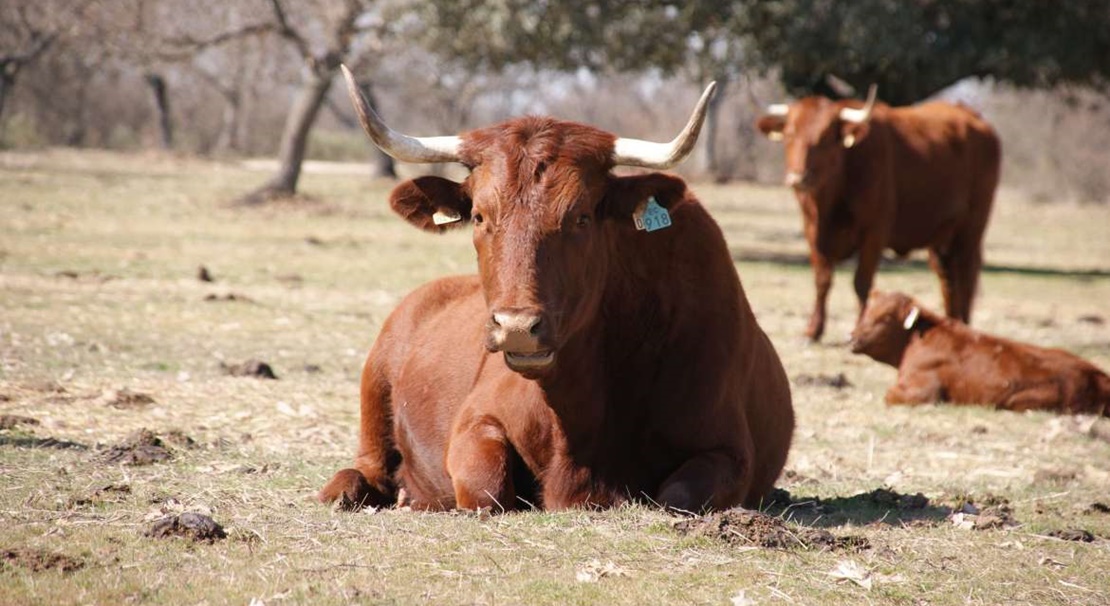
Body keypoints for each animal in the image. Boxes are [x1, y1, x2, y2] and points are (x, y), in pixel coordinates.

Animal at [317, 66, 794, 510]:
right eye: (479, 216)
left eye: (581, 217)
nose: (516, 327)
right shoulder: (475, 420)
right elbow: (486, 489)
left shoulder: (728, 452)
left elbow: (677, 496)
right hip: (374, 386)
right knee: (368, 467)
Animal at [759, 87, 1003, 339]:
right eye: (789, 134)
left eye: (825, 138)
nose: (798, 178)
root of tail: (973, 117)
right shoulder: (812, 231)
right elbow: (822, 279)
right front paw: (813, 330)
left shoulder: (874, 232)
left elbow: (862, 283)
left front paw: (859, 326)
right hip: (942, 236)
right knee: (948, 280)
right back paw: (953, 323)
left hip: (971, 229)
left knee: (966, 275)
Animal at [848, 288, 1110, 412]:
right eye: (867, 310)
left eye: (885, 317)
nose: (851, 337)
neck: (916, 339)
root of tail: (1097, 375)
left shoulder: (922, 391)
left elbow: (889, 395)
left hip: (1021, 400)